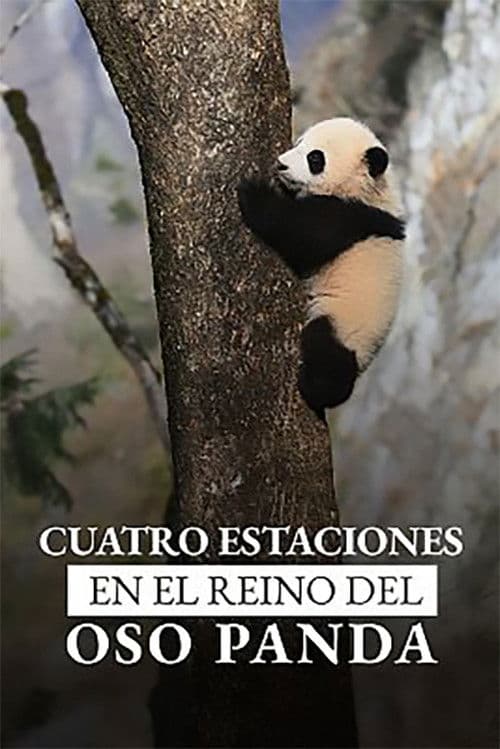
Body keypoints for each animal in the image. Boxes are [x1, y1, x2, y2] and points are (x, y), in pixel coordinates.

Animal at [237, 117, 405, 422]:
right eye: (299, 142)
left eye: (315, 159)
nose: (281, 164)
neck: (367, 189)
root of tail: (366, 360)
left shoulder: (348, 218)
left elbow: (302, 235)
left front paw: (255, 193)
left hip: (345, 323)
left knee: (326, 355)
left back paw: (315, 388)